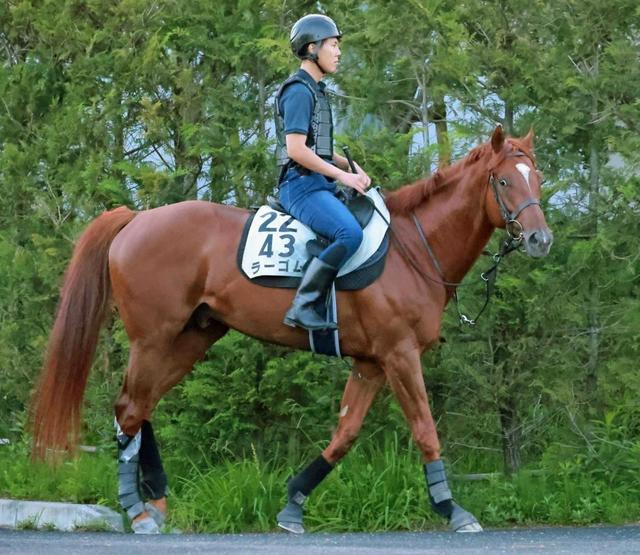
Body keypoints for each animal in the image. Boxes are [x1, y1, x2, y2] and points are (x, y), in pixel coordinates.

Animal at [31, 125, 552, 536]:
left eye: (538, 178)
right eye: (504, 180)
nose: (539, 239)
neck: (411, 249)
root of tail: (136, 219)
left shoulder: (370, 363)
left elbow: (345, 434)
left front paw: (294, 503)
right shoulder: (399, 354)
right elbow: (425, 429)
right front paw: (452, 509)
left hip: (190, 338)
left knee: (139, 407)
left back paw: (154, 502)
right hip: (153, 337)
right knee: (131, 408)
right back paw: (138, 510)